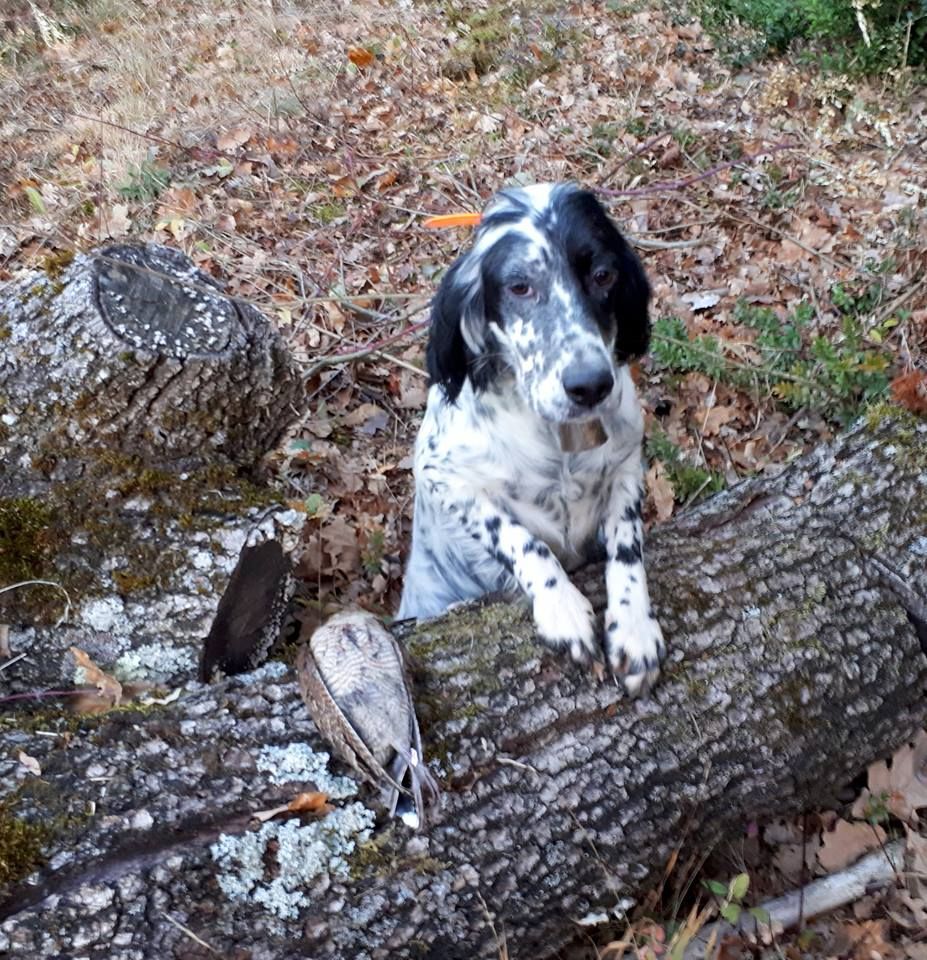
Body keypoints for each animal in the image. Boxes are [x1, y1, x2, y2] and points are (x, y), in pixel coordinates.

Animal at [398, 184, 668, 692]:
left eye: (603, 275)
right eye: (520, 285)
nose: (590, 386)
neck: (558, 437)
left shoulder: (627, 463)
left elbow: (627, 545)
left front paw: (635, 628)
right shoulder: (445, 479)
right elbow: (519, 538)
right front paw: (562, 608)